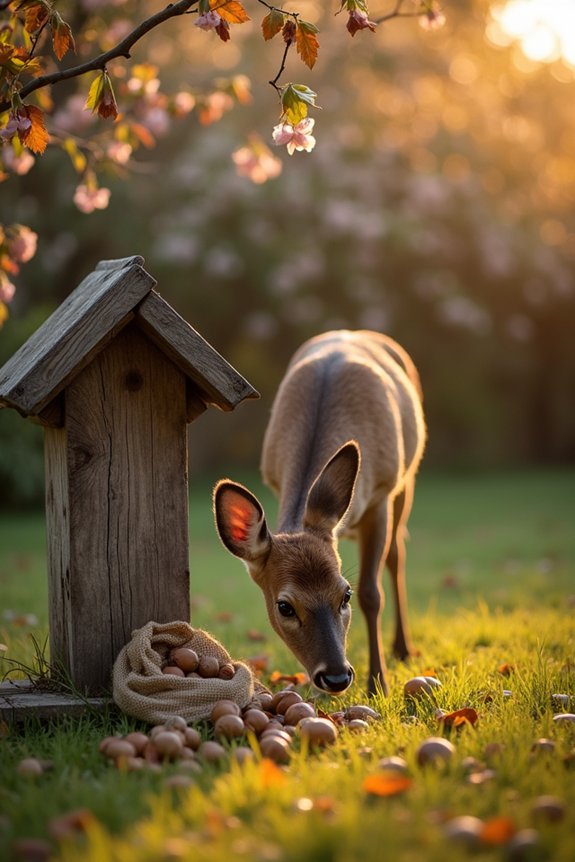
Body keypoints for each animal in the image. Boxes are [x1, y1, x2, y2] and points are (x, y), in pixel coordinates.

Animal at [213, 330, 426, 696]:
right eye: (284, 606)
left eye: (345, 594)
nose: (337, 676)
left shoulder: (381, 494)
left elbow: (373, 593)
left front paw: (378, 684)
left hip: (406, 479)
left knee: (397, 555)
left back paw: (402, 648)